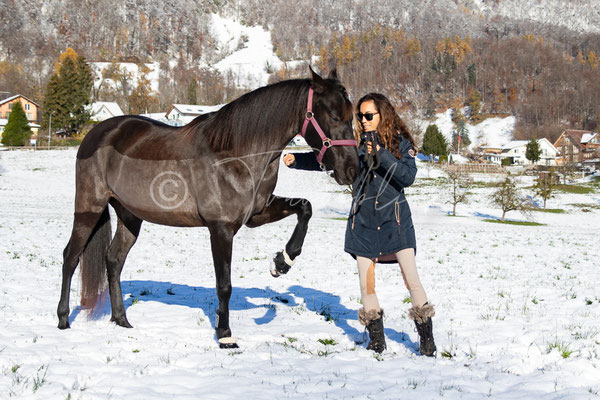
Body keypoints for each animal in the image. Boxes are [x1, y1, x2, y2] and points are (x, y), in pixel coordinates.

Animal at [57, 68, 359, 348]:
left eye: (351, 117)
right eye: (334, 117)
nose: (352, 169)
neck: (237, 154)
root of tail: (96, 133)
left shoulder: (256, 214)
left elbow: (305, 208)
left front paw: (282, 262)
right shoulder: (221, 229)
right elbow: (224, 285)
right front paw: (225, 335)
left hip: (130, 216)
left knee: (114, 260)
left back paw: (121, 320)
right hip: (89, 207)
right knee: (71, 256)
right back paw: (62, 320)